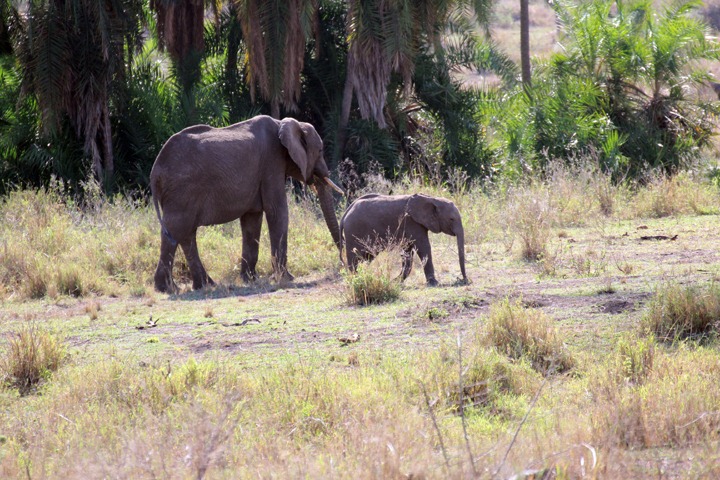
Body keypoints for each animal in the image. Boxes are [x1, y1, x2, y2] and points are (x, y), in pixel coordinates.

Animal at [150, 115, 344, 292]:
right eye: (320, 150)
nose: (342, 263)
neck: (285, 124)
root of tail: (155, 169)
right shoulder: (272, 162)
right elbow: (277, 211)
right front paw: (287, 278)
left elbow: (252, 220)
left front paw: (250, 279)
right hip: (181, 191)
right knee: (175, 230)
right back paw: (168, 289)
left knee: (185, 234)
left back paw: (204, 285)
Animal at [340, 194, 470, 286]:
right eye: (451, 219)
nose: (463, 280)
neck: (432, 198)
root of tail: (346, 213)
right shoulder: (412, 222)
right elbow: (423, 247)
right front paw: (434, 283)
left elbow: (407, 252)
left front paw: (396, 282)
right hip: (353, 231)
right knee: (354, 257)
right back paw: (356, 279)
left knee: (365, 257)